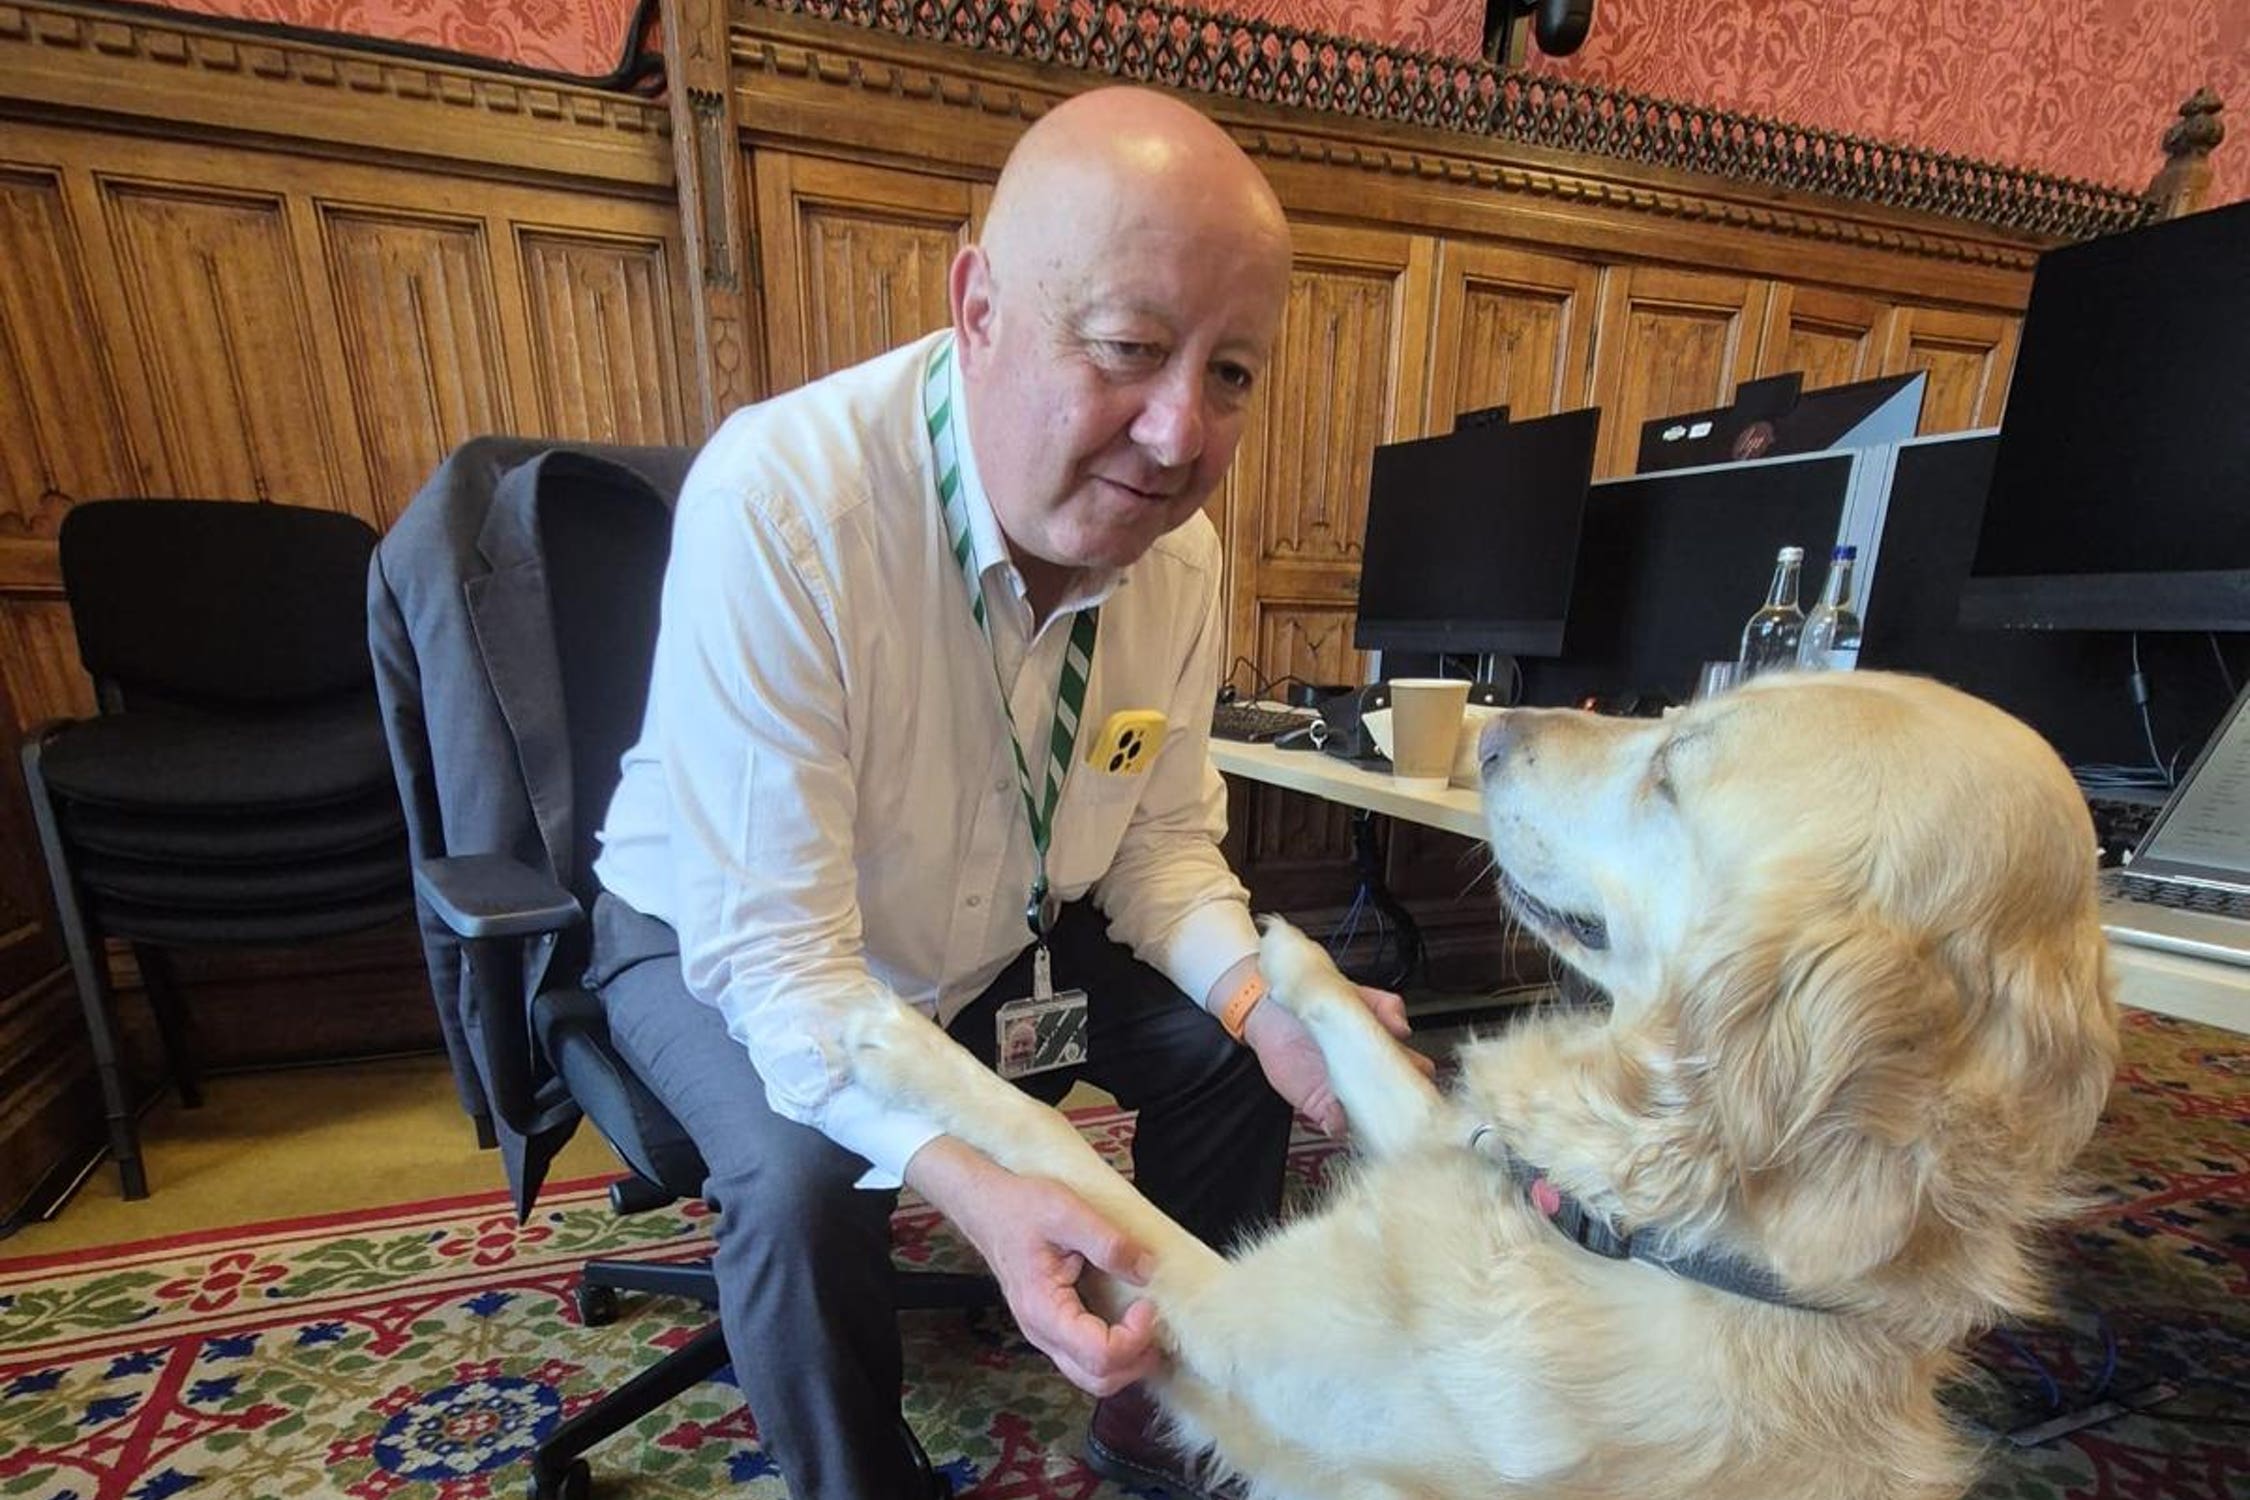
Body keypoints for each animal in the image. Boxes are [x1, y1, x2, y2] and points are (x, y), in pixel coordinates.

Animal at [846, 674, 2124, 1493]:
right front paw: (1290, 955)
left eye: (1673, 768)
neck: (1649, 1237)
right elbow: (1382, 1058)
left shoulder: (1236, 1328)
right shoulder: (1462, 1148)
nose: (1494, 733)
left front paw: (898, 1043)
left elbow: (1057, 1149)